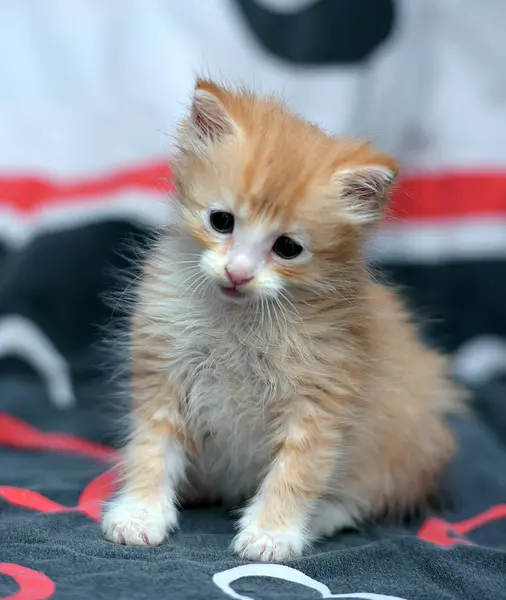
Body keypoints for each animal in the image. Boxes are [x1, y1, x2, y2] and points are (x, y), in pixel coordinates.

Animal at [102, 78, 466, 564]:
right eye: (221, 221)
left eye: (288, 248)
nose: (238, 273)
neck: (238, 318)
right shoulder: (162, 374)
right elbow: (151, 449)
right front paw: (140, 513)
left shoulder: (321, 398)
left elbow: (298, 471)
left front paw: (272, 533)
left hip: (407, 442)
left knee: (364, 495)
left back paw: (322, 517)